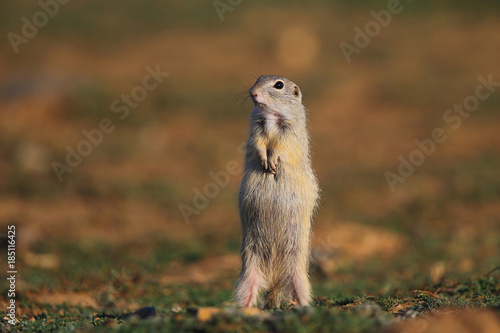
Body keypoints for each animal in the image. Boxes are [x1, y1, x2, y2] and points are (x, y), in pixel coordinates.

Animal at [235, 74, 320, 306]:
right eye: (257, 79)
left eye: (279, 85)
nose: (253, 92)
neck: (272, 116)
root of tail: (273, 277)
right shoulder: (257, 128)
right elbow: (259, 144)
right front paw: (265, 161)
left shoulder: (290, 130)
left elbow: (280, 146)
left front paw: (272, 162)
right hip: (248, 276)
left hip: (298, 275)